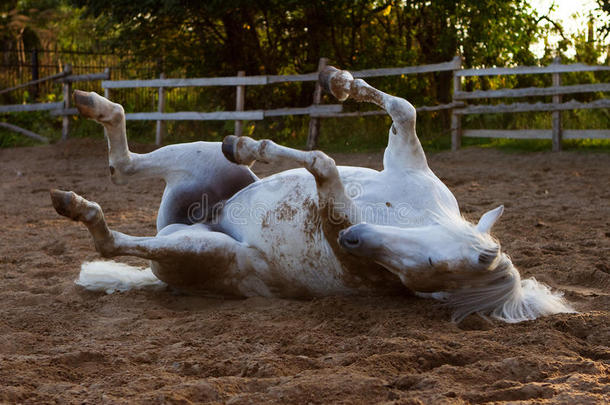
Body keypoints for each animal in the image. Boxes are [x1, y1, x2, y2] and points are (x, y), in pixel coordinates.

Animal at [50, 66, 572, 322]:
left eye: (423, 275)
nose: (352, 241)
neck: (411, 217)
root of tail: (202, 220)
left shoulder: (334, 212)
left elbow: (322, 162)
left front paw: (255, 144)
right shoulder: (406, 159)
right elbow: (401, 109)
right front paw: (334, 81)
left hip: (204, 250)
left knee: (112, 238)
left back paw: (77, 205)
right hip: (203, 159)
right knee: (122, 165)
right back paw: (93, 103)